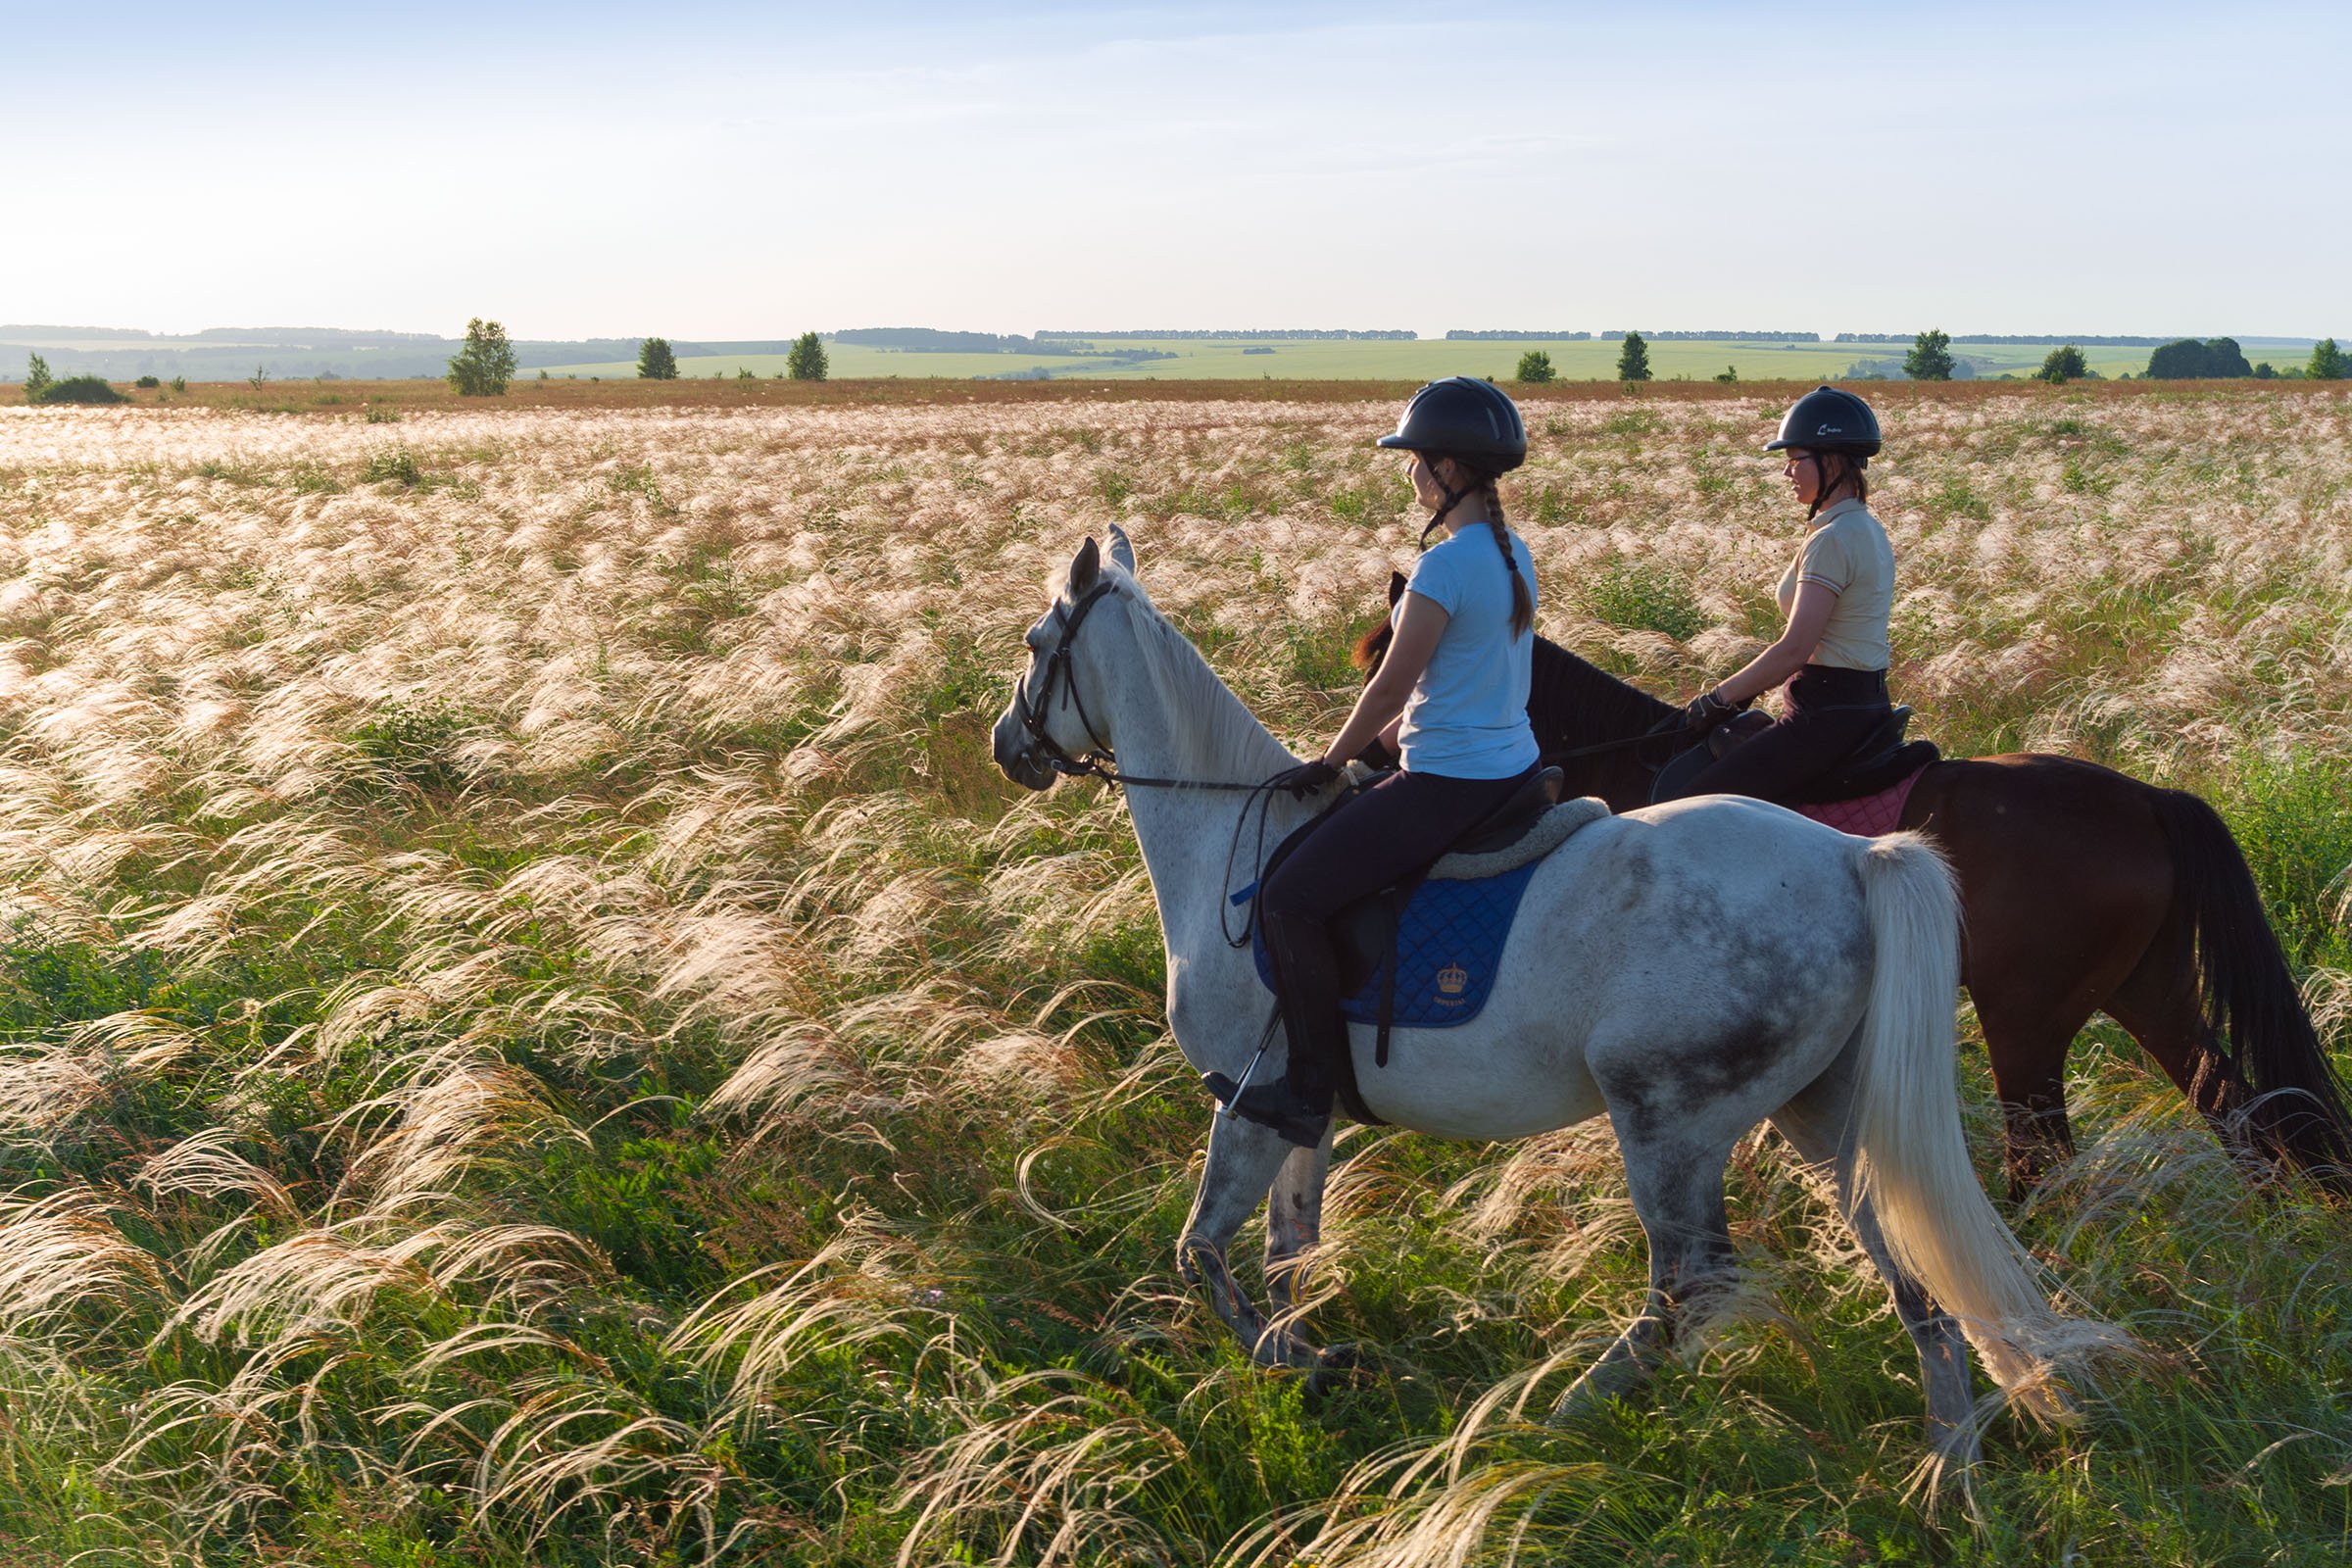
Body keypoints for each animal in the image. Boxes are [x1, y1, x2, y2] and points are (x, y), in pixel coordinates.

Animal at [992, 533, 2097, 1466]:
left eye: (1039, 643)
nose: (1009, 745)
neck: (1235, 840)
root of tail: (1851, 858)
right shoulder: (1302, 1107)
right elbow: (1285, 1253)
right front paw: (1314, 1358)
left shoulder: (1249, 1095)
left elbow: (1205, 1256)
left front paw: (1304, 1366)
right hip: (1824, 1108)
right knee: (1904, 1255)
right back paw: (1948, 1463)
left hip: (1668, 1121)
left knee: (1689, 1286)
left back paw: (1554, 1415)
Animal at [1354, 580, 2352, 1203]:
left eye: (1387, 666)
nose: (1366, 760)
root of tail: (2146, 800)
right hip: (2149, 992)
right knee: (2244, 1114)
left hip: (2028, 1020)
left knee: (2049, 1162)